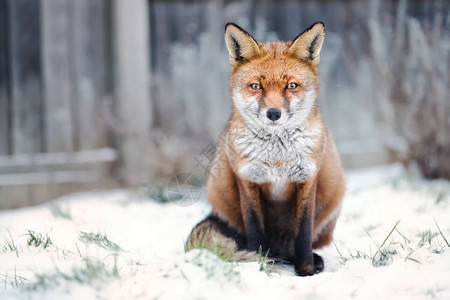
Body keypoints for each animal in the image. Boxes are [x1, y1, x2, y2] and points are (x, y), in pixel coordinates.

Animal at [185, 21, 344, 276]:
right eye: (256, 86)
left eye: (291, 86)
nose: (273, 113)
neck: (277, 158)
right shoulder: (248, 181)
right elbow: (255, 233)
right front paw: (258, 265)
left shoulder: (307, 179)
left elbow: (303, 234)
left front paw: (306, 271)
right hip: (220, 192)